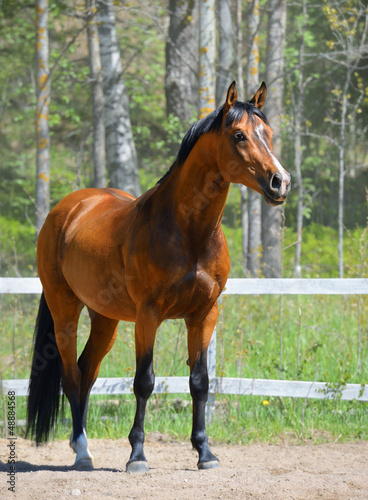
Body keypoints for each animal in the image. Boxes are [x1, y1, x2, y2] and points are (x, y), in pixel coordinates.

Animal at [25, 80, 290, 470]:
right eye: (239, 135)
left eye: (267, 134)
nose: (280, 182)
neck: (187, 231)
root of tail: (67, 210)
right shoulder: (148, 316)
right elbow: (144, 382)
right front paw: (137, 455)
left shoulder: (203, 315)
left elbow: (200, 381)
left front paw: (205, 452)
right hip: (65, 311)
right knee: (71, 376)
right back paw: (83, 452)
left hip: (105, 319)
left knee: (87, 372)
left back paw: (79, 444)